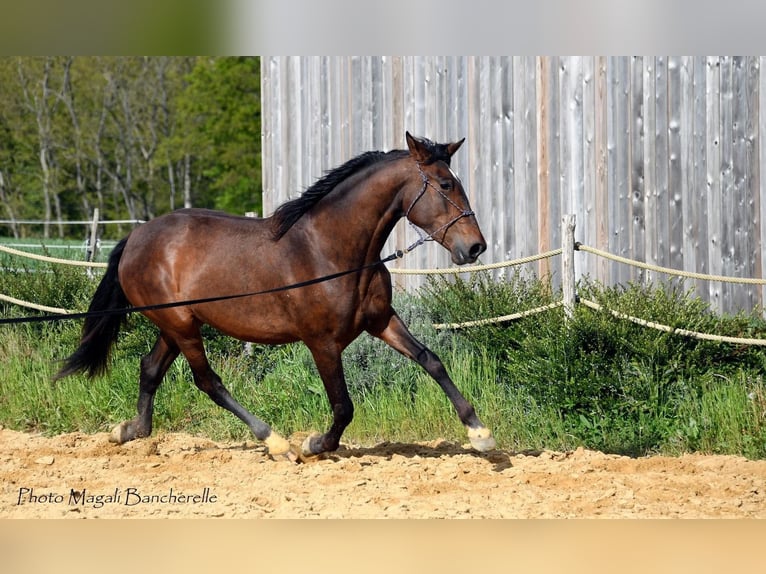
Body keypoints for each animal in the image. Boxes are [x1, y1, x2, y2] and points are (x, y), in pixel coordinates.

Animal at [55, 133, 498, 462]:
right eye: (446, 185)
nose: (475, 247)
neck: (330, 251)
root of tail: (136, 237)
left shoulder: (381, 320)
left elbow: (431, 360)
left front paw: (480, 433)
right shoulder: (322, 343)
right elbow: (343, 406)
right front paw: (314, 444)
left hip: (177, 324)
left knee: (150, 369)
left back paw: (130, 431)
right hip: (181, 326)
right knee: (207, 381)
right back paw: (276, 442)